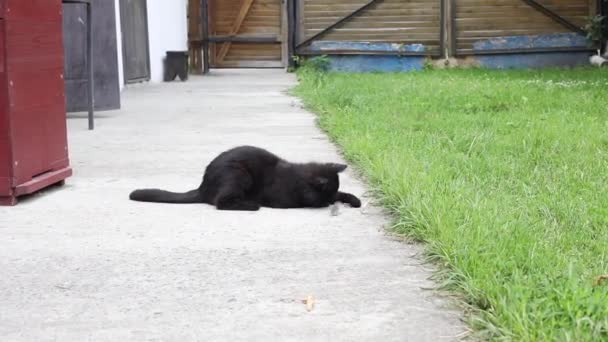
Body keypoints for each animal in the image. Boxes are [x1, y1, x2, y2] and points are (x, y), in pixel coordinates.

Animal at [129, 145, 360, 211]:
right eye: (325, 196)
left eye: (331, 194)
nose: (329, 202)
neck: (299, 180)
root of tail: (202, 187)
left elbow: (344, 193)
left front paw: (354, 200)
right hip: (238, 174)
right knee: (221, 202)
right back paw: (251, 204)